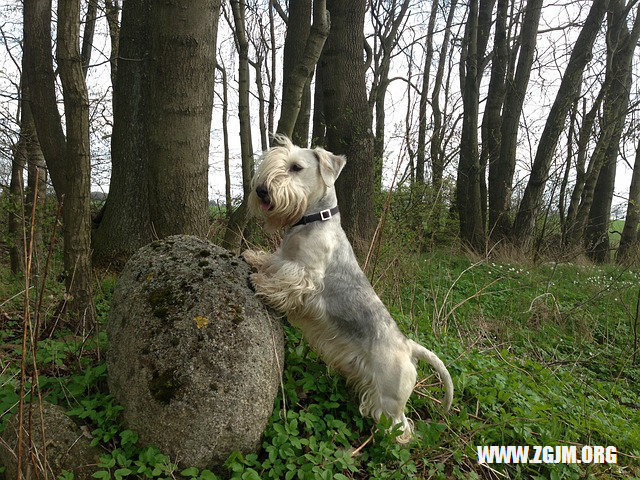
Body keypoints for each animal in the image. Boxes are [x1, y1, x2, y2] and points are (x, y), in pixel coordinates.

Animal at [241, 135, 456, 442]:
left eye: (296, 167)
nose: (261, 191)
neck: (313, 219)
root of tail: (408, 346)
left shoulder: (306, 275)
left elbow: (285, 283)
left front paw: (262, 284)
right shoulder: (285, 258)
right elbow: (271, 261)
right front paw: (254, 258)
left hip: (389, 399)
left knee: (401, 427)